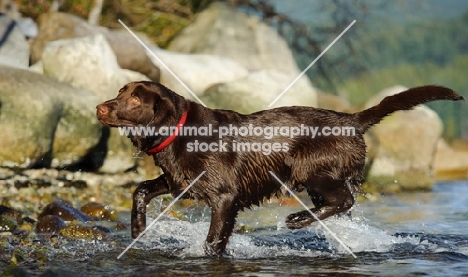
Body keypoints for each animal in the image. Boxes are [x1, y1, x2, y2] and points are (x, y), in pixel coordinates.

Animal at [97, 81, 462, 256]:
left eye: (135, 100)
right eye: (120, 91)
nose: (100, 107)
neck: (181, 131)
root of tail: (352, 119)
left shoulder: (225, 198)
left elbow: (214, 240)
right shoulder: (178, 182)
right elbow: (140, 189)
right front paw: (137, 229)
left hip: (310, 169)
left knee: (344, 200)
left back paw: (298, 219)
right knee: (341, 203)